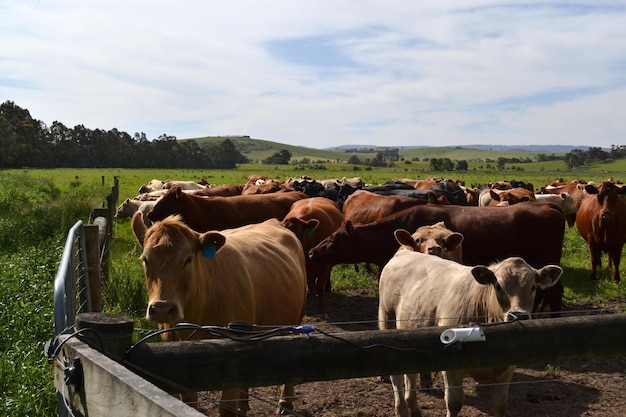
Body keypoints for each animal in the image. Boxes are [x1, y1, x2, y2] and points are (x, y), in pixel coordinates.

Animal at [132, 214, 308, 416]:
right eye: (145, 259)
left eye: (188, 259)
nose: (162, 308)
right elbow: (189, 401)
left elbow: (226, 408)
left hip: (295, 320)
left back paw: (285, 403)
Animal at [378, 250, 564, 416]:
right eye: (498, 286)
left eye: (533, 287)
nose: (519, 315)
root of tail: (404, 252)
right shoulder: (451, 366)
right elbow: (454, 402)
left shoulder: (507, 369)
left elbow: (500, 406)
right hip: (387, 320)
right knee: (396, 377)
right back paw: (401, 410)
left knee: (410, 374)